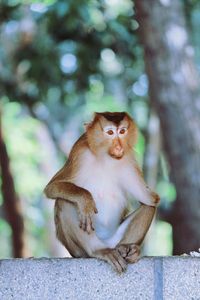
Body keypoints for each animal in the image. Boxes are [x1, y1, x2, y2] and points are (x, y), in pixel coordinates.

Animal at [44, 111, 159, 274]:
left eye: (122, 131)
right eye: (110, 132)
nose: (119, 147)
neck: (106, 157)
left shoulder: (128, 159)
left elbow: (150, 199)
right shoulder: (79, 152)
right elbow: (52, 187)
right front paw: (85, 199)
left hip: (114, 239)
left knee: (149, 206)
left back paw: (127, 249)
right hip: (78, 250)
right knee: (64, 202)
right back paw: (97, 250)